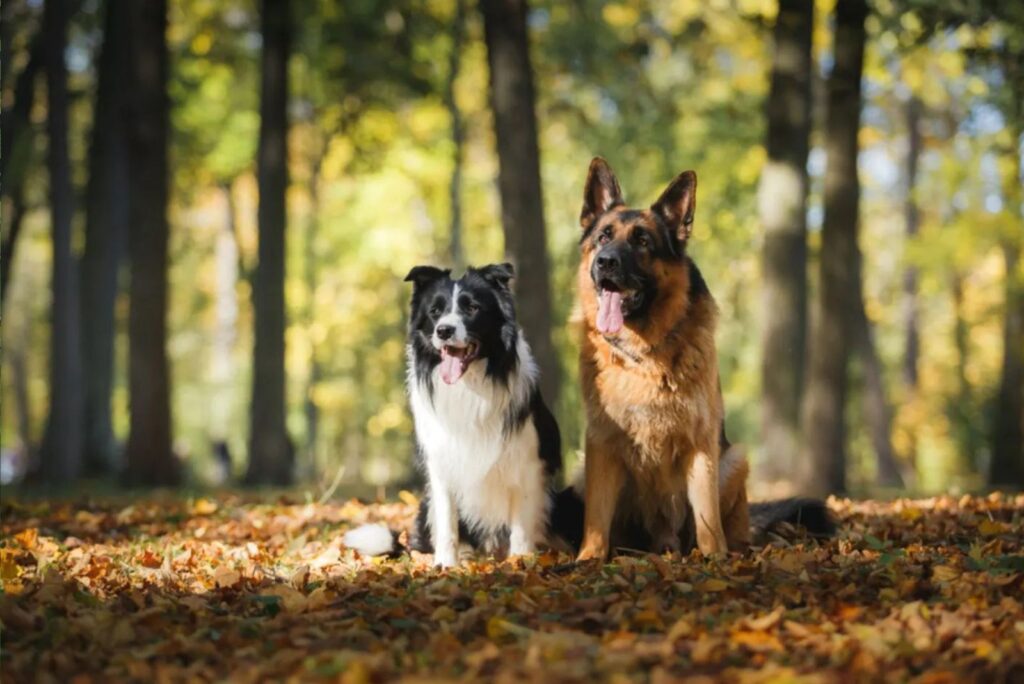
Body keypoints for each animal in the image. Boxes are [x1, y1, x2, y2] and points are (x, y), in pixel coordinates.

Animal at [348, 262, 565, 565]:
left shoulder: (529, 464)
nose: (444, 331)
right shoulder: (442, 463)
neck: (469, 385)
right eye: (435, 311)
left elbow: (521, 526)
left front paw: (520, 562)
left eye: (472, 308)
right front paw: (445, 565)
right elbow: (447, 521)